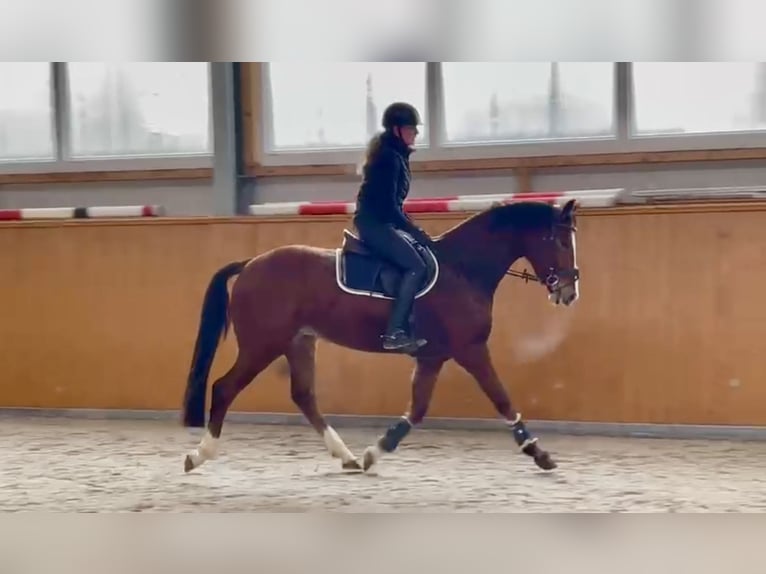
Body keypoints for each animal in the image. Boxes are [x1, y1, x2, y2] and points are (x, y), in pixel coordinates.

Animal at [180, 199, 580, 474]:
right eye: (560, 241)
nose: (569, 292)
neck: (463, 270)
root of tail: (250, 264)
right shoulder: (471, 349)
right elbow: (501, 398)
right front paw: (538, 453)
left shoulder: (432, 357)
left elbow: (417, 409)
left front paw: (377, 450)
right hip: (262, 345)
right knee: (225, 388)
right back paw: (199, 455)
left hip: (298, 342)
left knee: (304, 396)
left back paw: (347, 457)